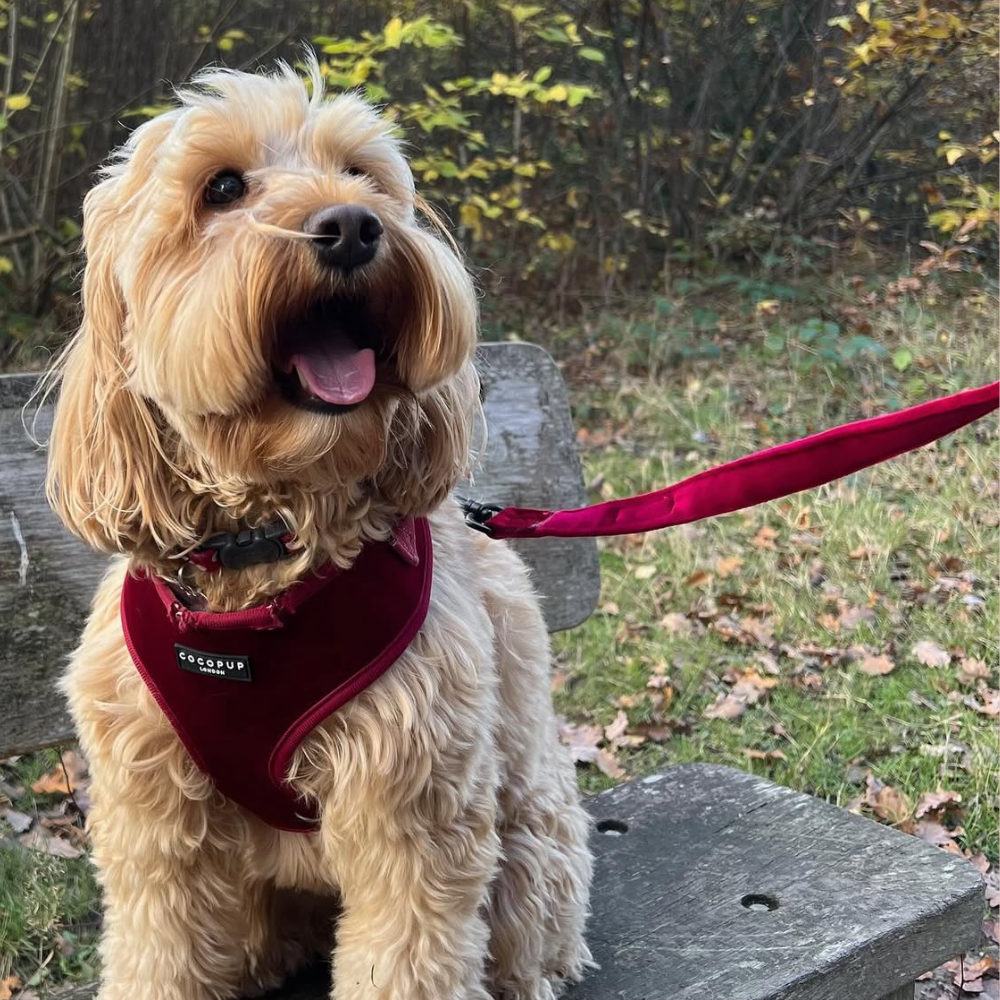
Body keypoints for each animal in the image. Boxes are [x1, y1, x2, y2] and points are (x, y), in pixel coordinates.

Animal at [47, 60, 588, 1000]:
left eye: (362, 175)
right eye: (222, 187)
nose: (352, 226)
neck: (268, 551)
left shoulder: (414, 800)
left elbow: (407, 954)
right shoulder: (154, 819)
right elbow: (159, 945)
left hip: (528, 854)